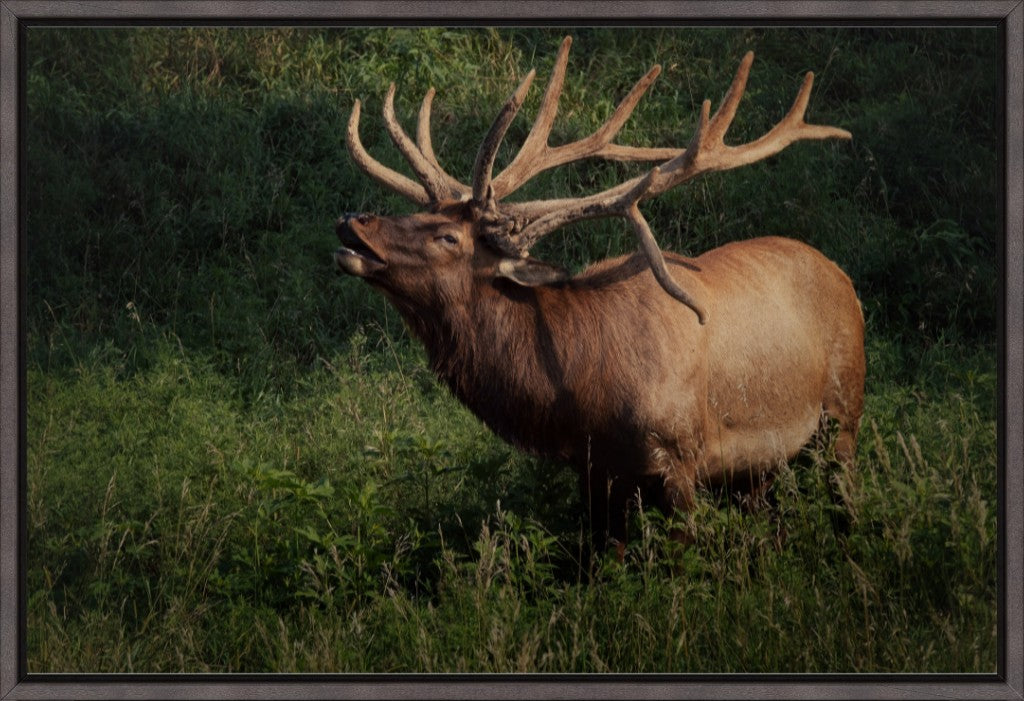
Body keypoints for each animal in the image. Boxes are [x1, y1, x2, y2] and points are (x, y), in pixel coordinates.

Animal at [335, 38, 864, 556]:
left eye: (447, 236)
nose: (352, 221)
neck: (581, 390)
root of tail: (842, 276)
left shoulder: (682, 457)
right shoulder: (595, 470)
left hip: (844, 413)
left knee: (844, 499)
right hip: (760, 467)